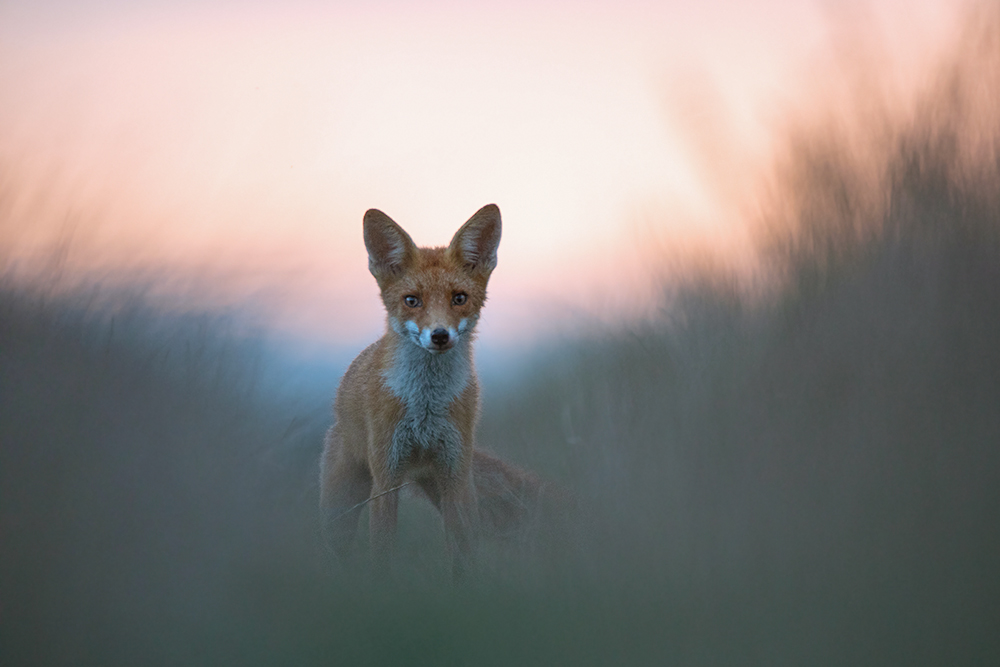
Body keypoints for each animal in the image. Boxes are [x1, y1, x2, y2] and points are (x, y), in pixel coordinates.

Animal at [320, 204, 544, 576]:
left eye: (459, 299)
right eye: (412, 300)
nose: (439, 335)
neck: (425, 405)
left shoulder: (456, 474)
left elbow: (464, 558)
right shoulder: (386, 478)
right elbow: (383, 554)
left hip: (445, 486)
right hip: (340, 507)